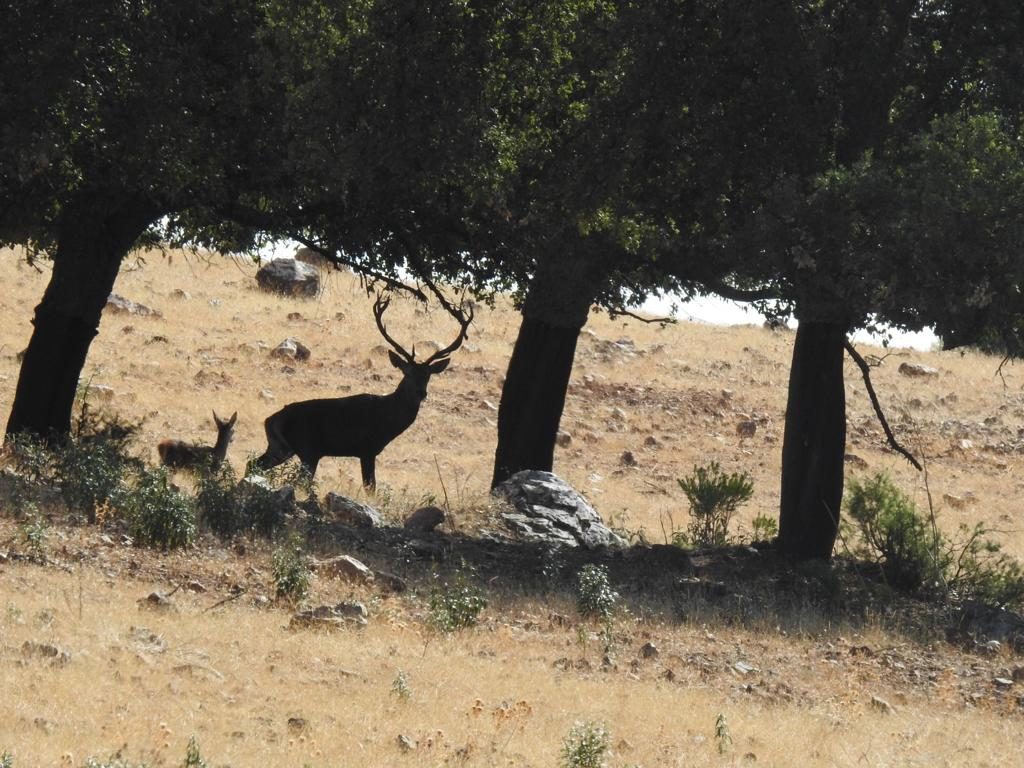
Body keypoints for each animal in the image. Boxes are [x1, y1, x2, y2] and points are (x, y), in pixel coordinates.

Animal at [254, 293, 472, 490]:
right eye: (407, 373)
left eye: (428, 375)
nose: (421, 393)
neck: (387, 420)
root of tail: (269, 420)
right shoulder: (367, 448)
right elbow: (371, 488)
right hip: (308, 449)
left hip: (281, 447)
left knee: (254, 464)